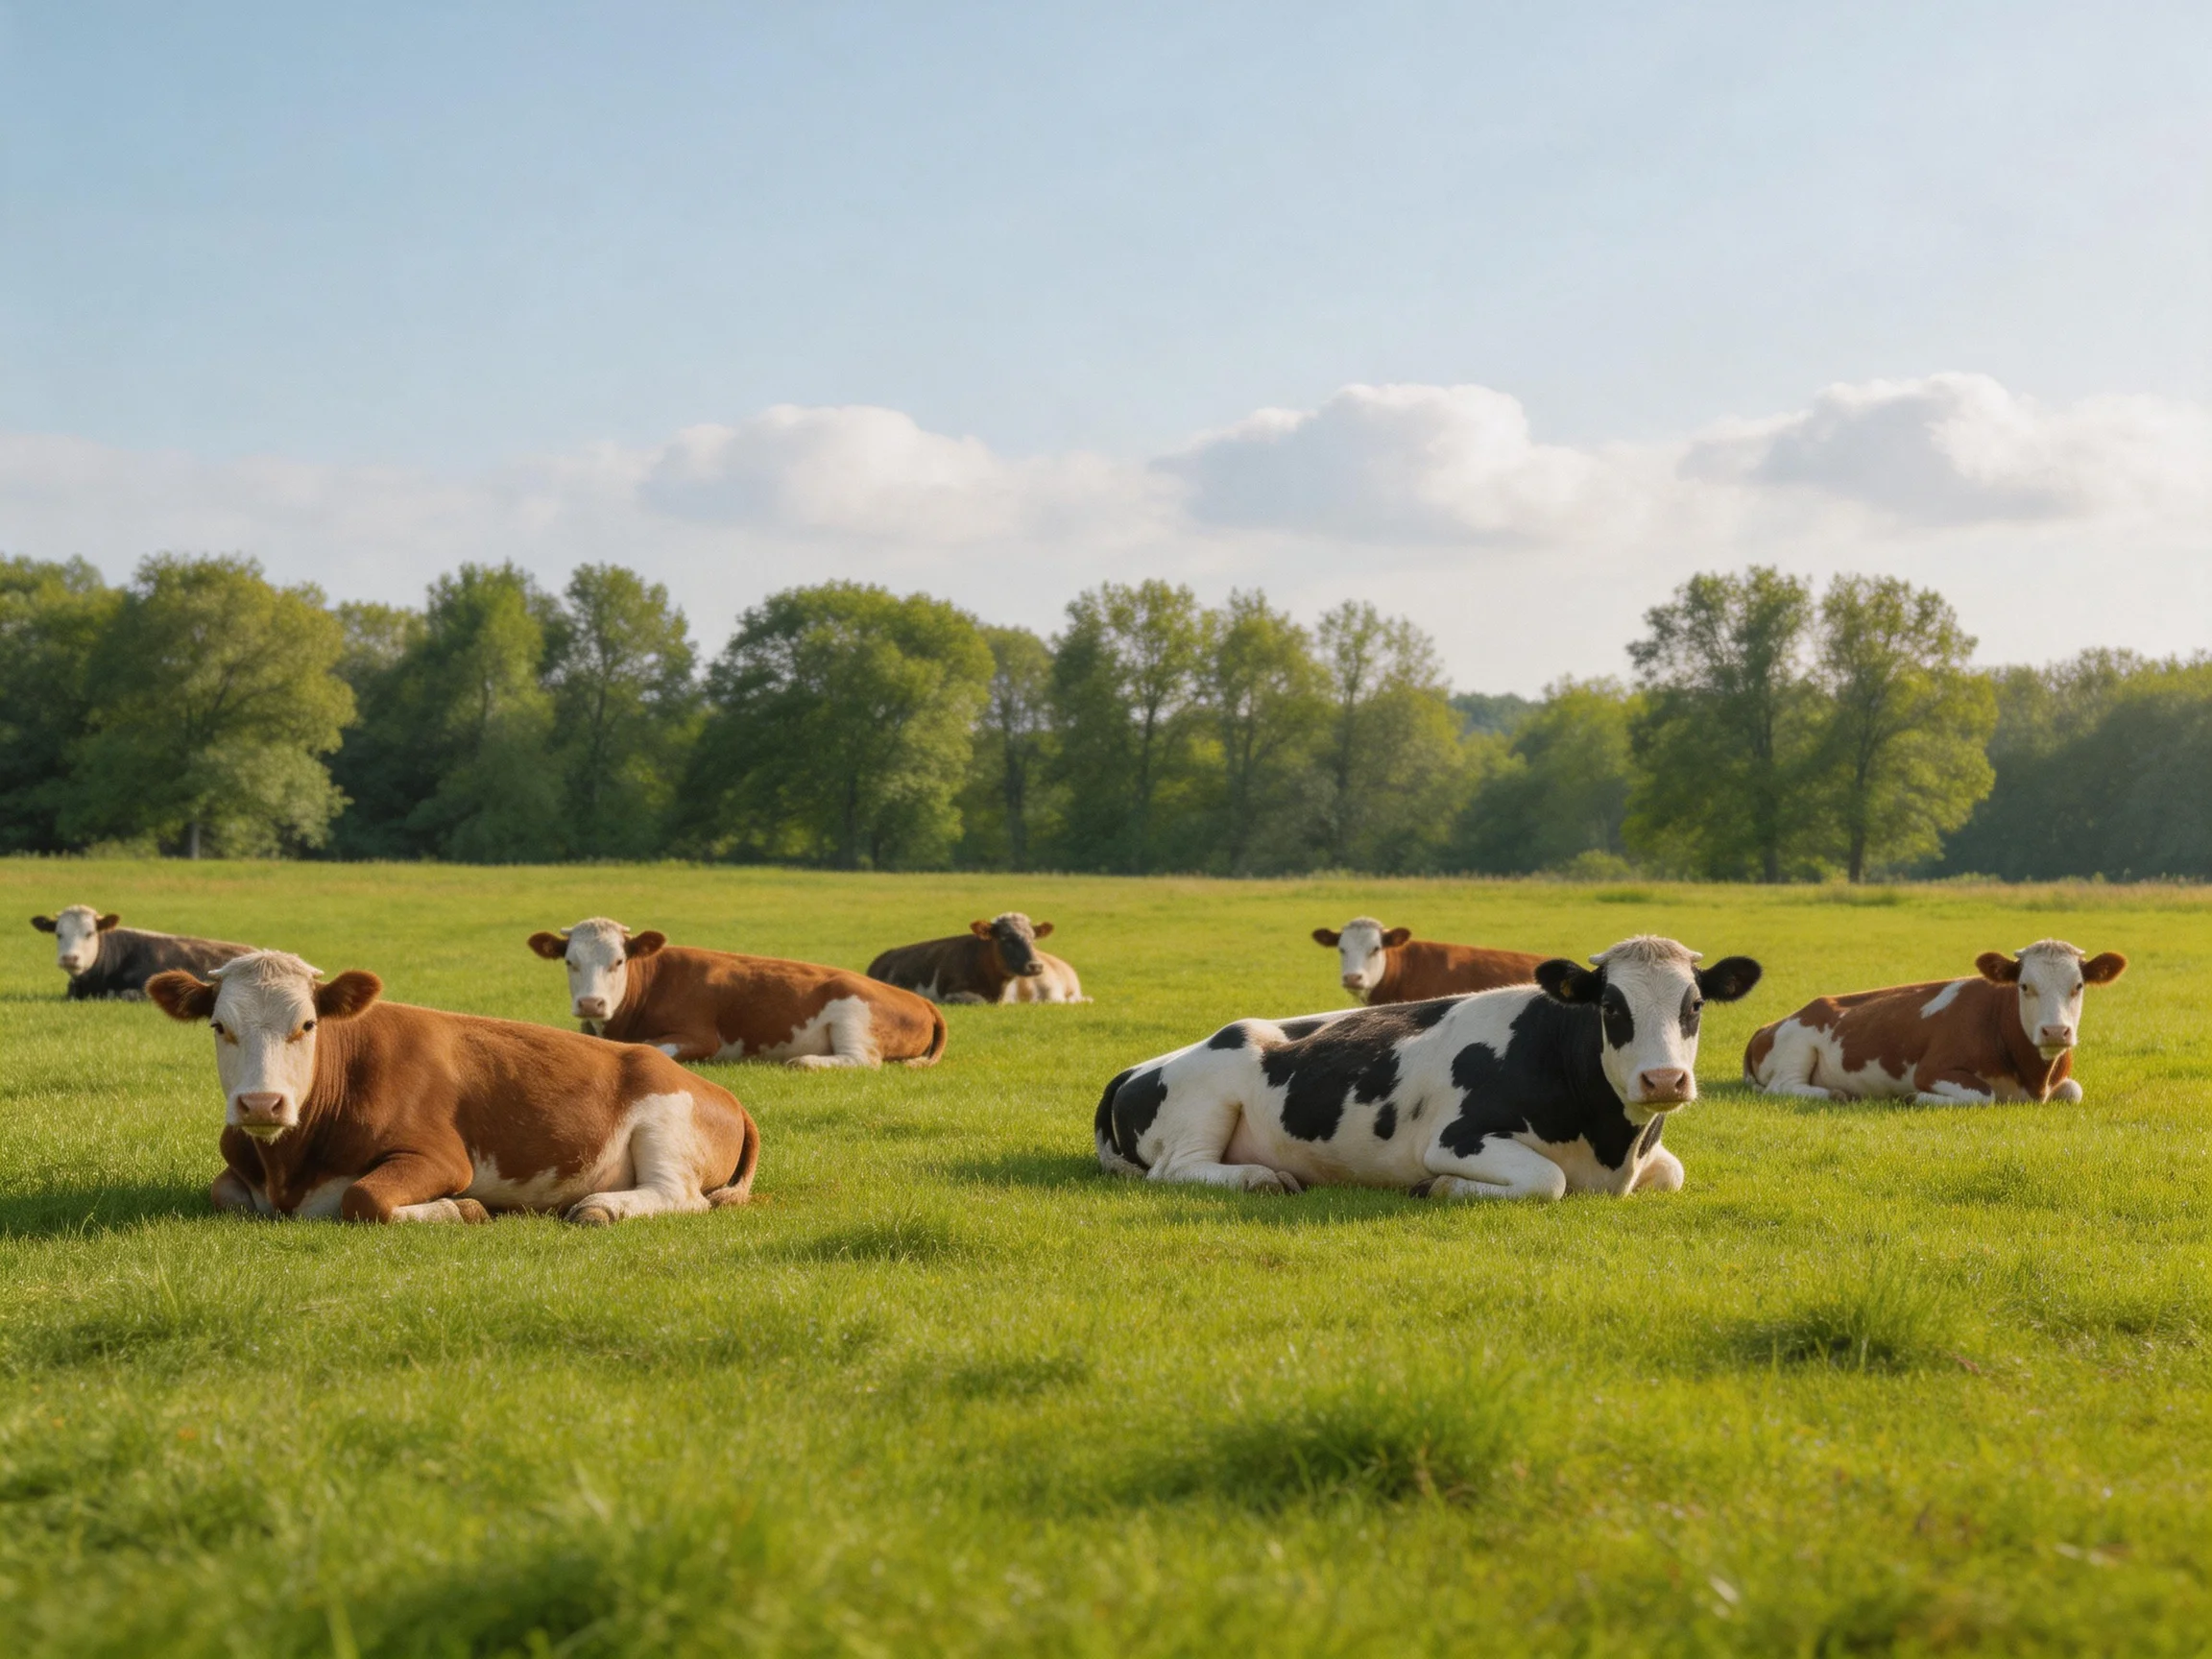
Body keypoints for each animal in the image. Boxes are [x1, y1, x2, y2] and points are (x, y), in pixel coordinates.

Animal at [147, 950, 759, 1225]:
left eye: (308, 1024)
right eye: (219, 1027)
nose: (261, 1103)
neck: (288, 1171)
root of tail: (721, 1093)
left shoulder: (442, 1156)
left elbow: (364, 1197)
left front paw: (462, 1209)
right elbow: (223, 1193)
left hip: (664, 1121)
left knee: (679, 1195)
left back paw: (600, 1208)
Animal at [529, 918, 946, 1068]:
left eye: (618, 961)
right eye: (570, 962)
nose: (591, 1003)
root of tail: (920, 1000)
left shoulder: (701, 1037)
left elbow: (651, 1048)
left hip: (852, 1010)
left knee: (863, 1059)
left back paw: (804, 1060)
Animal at [1097, 935, 1762, 1200]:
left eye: (1695, 1005)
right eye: (1610, 1006)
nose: (1664, 1079)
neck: (1612, 1147)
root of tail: (1133, 1070)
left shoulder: (1652, 1162)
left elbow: (1672, 1172)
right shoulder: (1458, 1139)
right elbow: (1547, 1180)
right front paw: (1436, 1187)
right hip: (1209, 1090)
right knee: (1178, 1170)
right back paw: (1262, 1177)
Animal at [1743, 939, 2128, 1105]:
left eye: (2078, 986)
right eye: (2024, 986)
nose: (2055, 1031)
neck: (2033, 1078)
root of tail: (1767, 1025)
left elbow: (2074, 1092)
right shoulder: (1932, 1069)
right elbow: (1983, 1095)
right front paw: (1915, 1097)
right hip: (1796, 1043)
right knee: (1784, 1087)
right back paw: (1836, 1093)